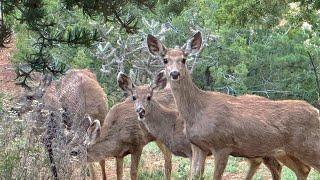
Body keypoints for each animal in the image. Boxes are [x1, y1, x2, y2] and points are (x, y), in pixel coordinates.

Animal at [147, 32, 318, 180]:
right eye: (165, 59)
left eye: (183, 59)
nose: (174, 74)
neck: (198, 111)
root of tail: (316, 112)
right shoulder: (199, 147)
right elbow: (195, 176)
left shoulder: (222, 145)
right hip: (285, 151)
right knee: (303, 169)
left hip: (308, 145)